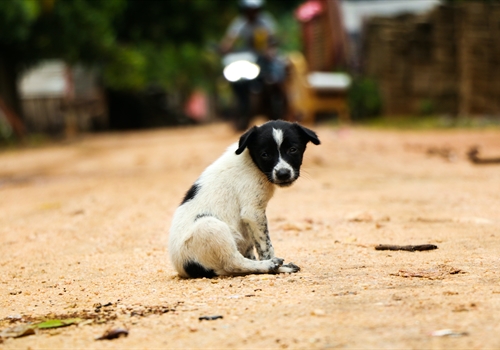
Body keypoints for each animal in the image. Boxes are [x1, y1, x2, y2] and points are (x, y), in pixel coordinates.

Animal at [168, 121, 320, 278]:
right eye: (265, 154)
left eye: (293, 149)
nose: (283, 174)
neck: (251, 162)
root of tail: (184, 268)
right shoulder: (253, 212)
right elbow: (266, 246)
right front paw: (274, 263)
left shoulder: (248, 223)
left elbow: (253, 247)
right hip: (210, 226)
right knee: (233, 263)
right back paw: (272, 266)